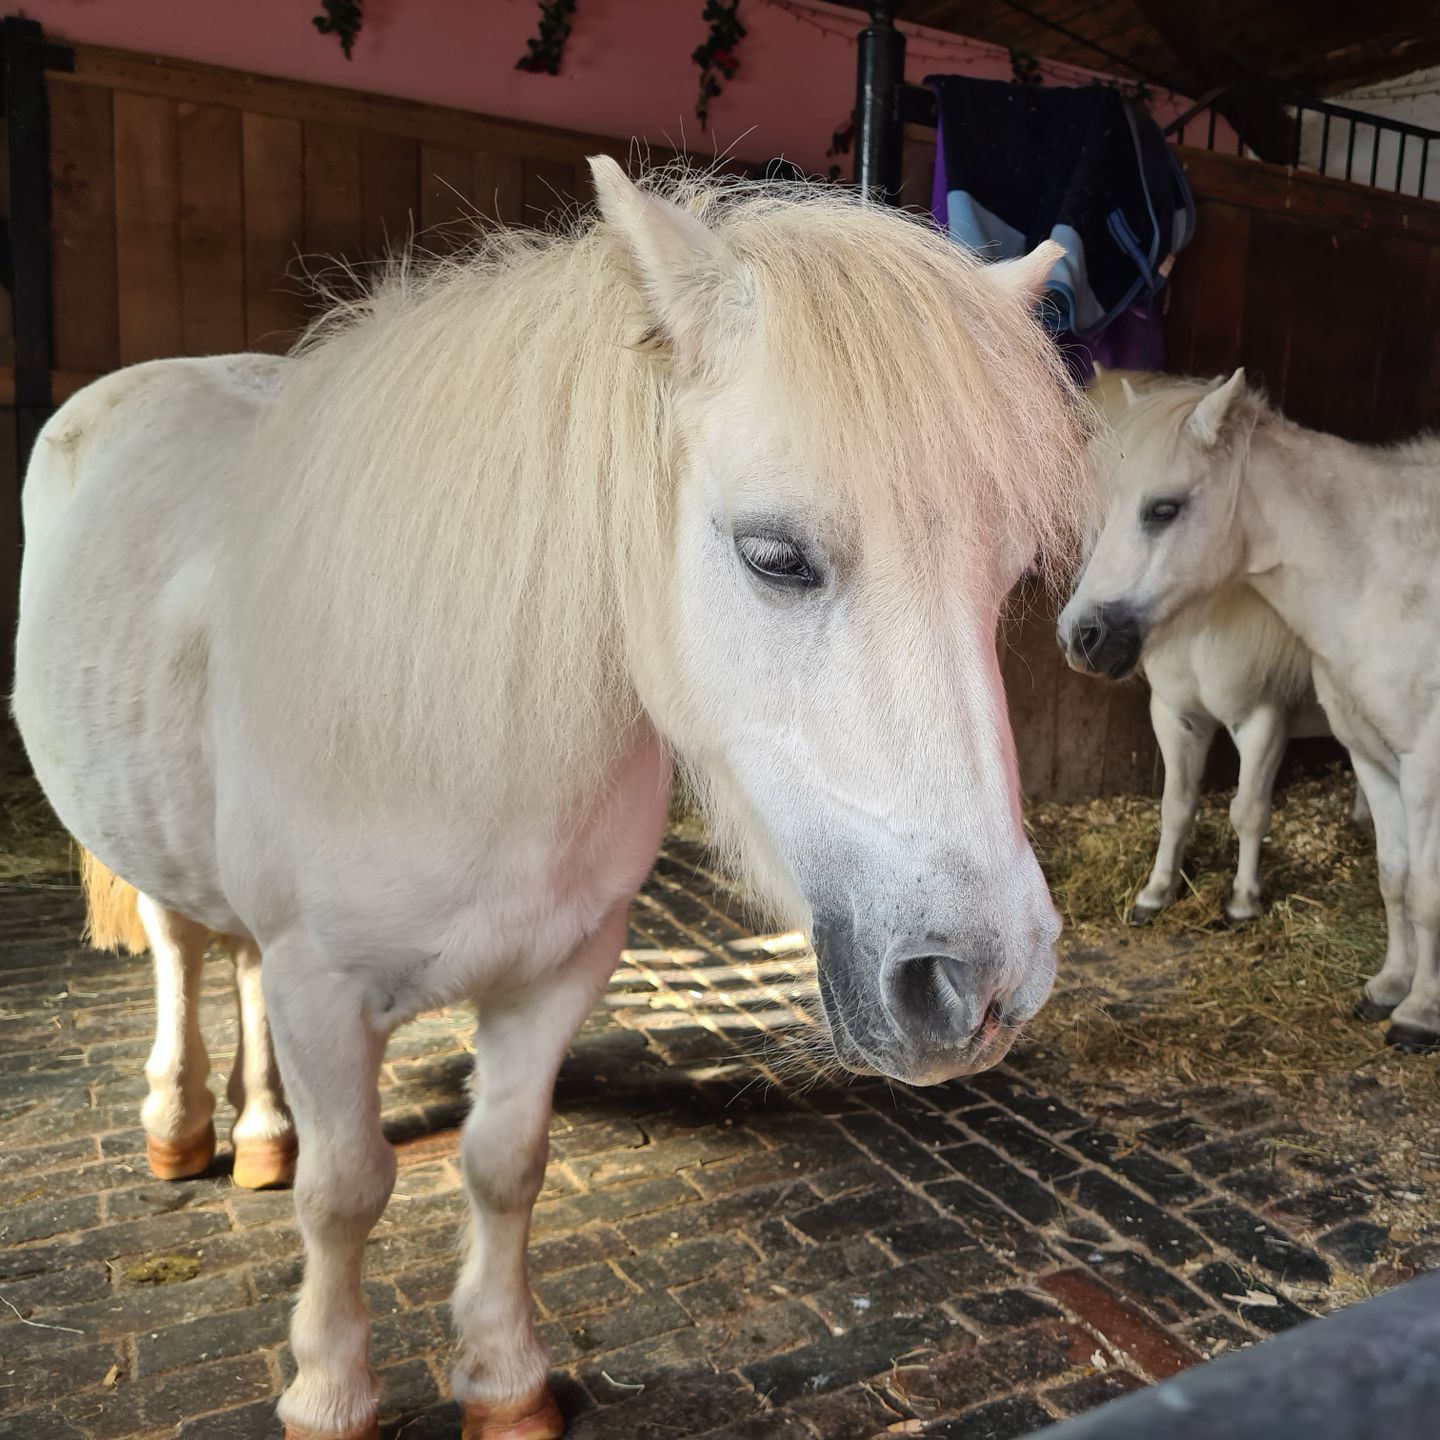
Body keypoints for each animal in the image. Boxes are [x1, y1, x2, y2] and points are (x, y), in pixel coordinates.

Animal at [13, 159, 1090, 1440]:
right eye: (774, 556)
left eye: (1010, 575)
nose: (982, 984)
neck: (467, 746)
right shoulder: (326, 987)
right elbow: (346, 1192)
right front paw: (329, 1388)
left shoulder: (561, 973)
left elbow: (502, 1166)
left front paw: (504, 1377)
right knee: (184, 952)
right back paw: (180, 1131)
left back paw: (260, 1131)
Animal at [1083, 367, 1326, 926]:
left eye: (1163, 509)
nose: (1082, 637)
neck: (1204, 630)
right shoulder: (1176, 714)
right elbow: (1176, 804)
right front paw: (1156, 891)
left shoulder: (1264, 720)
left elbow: (1249, 811)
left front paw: (1242, 901)